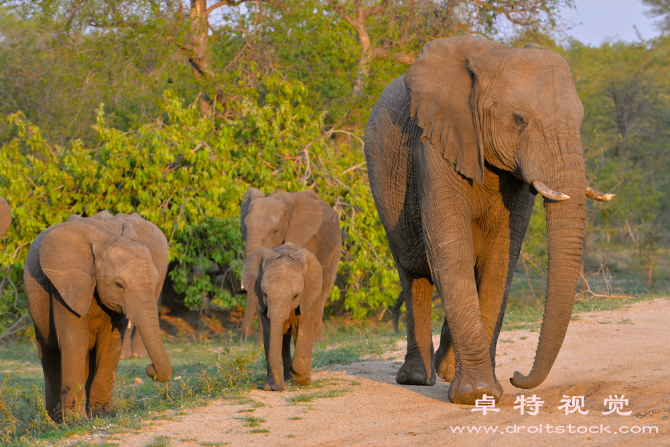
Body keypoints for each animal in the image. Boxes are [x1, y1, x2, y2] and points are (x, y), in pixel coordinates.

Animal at [24, 217, 173, 424]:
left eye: (156, 280)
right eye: (119, 285)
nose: (150, 369)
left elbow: (111, 343)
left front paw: (103, 415)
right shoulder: (65, 288)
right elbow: (74, 342)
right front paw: (76, 421)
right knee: (50, 355)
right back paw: (55, 420)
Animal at [240, 187, 342, 342]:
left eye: (275, 230)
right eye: (245, 227)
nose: (246, 337)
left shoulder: (305, 238)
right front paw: (262, 344)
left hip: (336, 244)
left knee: (324, 287)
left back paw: (317, 340)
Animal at [244, 243, 328, 390]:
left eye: (295, 295)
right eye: (265, 294)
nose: (282, 388)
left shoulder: (307, 297)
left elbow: (303, 331)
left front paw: (303, 381)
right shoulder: (261, 303)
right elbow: (269, 335)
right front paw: (270, 388)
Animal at [364, 37, 616, 406]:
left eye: (581, 118)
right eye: (519, 119)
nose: (517, 376)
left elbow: (501, 257)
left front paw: (486, 390)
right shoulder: (436, 142)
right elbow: (450, 249)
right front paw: (476, 394)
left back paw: (446, 372)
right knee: (414, 274)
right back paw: (417, 378)